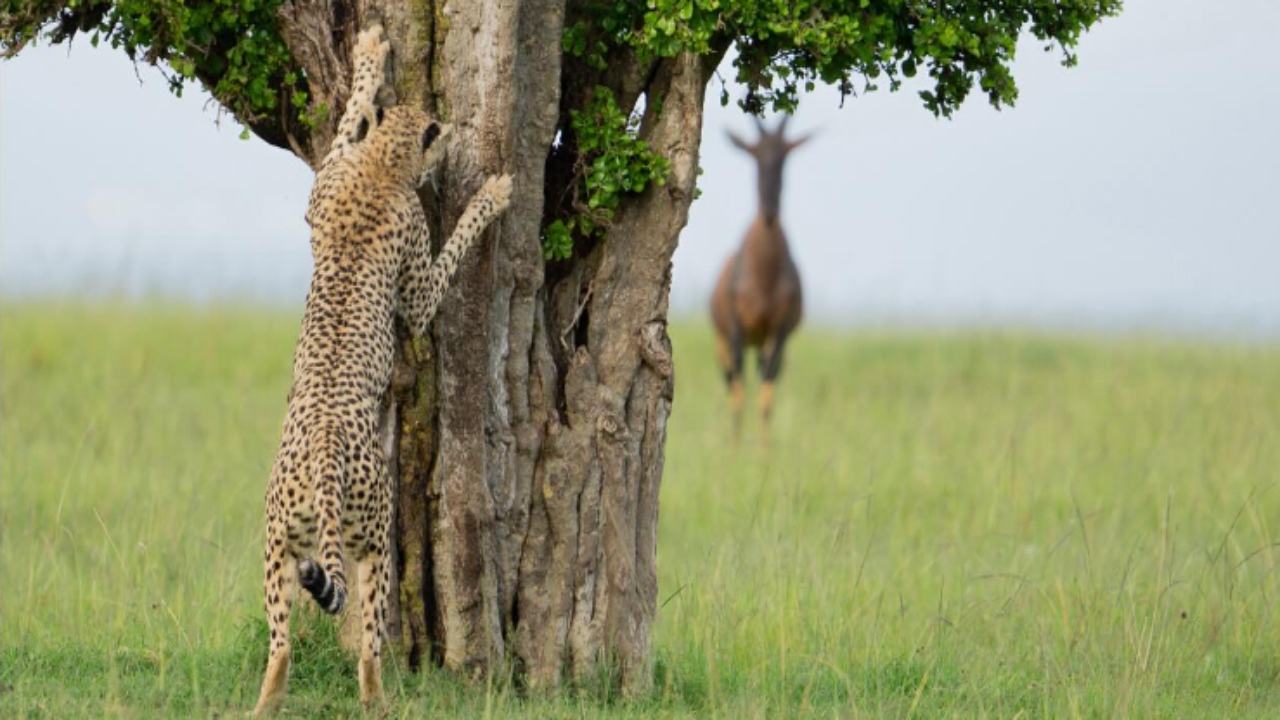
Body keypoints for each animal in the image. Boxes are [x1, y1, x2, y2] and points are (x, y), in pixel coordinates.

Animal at [252, 22, 512, 712]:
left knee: (280, 645)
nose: (451, 141)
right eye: (440, 132)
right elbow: (445, 263)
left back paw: (264, 704)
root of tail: (321, 459)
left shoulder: (323, 186)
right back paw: (378, 702)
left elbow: (348, 121)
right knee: (369, 642)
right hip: (372, 541)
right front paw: (490, 197)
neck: (382, 166)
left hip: (278, 546)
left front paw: (370, 58)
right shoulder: (416, 290)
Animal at [711, 114, 808, 440]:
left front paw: (763, 450)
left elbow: (766, 395)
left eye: (786, 155)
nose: (769, 212)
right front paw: (735, 447)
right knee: (731, 381)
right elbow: (739, 392)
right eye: (753, 154)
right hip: (724, 341)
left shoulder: (779, 332)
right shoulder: (736, 331)